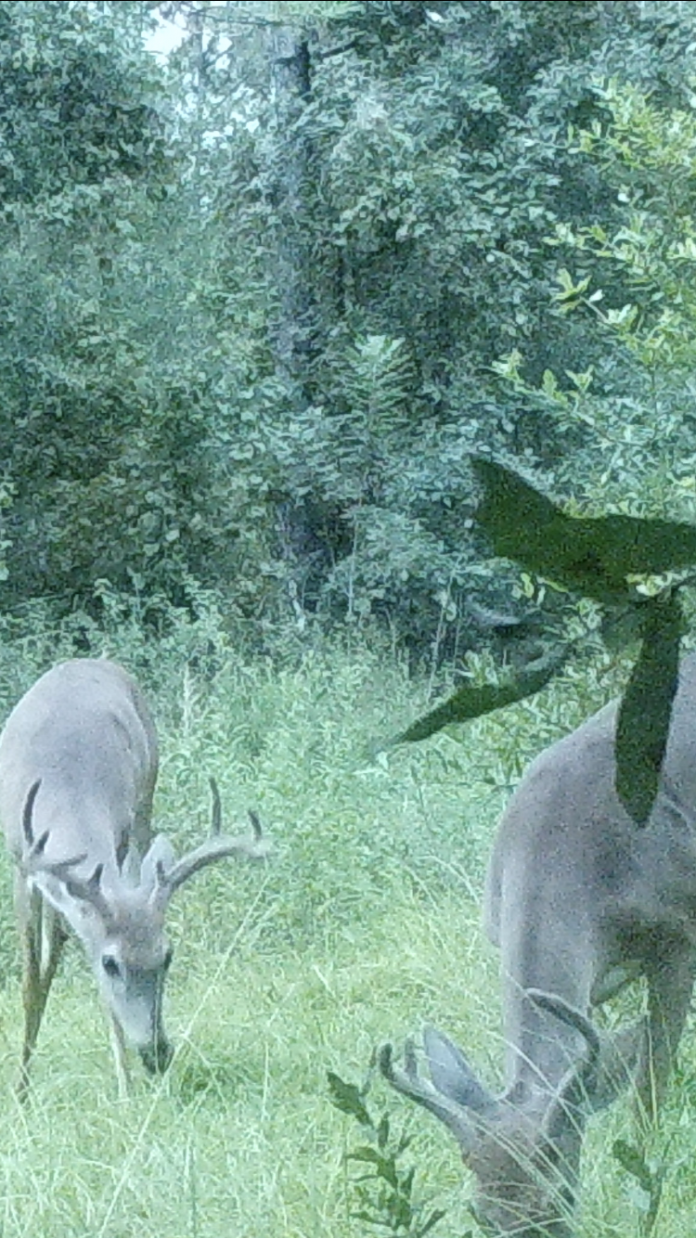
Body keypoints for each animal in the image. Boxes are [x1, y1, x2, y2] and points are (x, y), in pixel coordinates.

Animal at [0, 658, 271, 1094]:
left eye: (168, 955)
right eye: (112, 963)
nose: (158, 1054)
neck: (64, 786)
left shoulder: (117, 837)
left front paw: (125, 1088)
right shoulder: (21, 867)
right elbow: (30, 980)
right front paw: (20, 1089)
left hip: (146, 799)